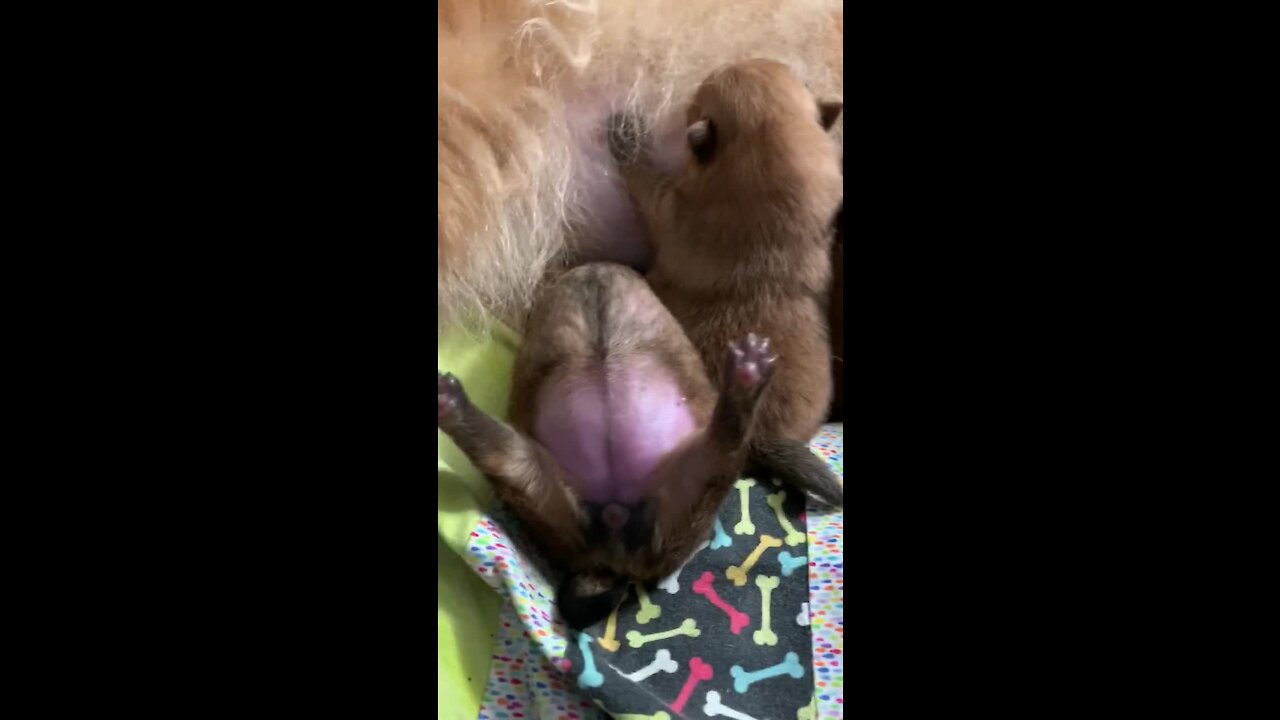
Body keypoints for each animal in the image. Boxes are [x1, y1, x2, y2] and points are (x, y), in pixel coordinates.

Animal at [435, 260, 773, 625]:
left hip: (540, 478)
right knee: (726, 440)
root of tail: (612, 556)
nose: (597, 269)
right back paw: (746, 377)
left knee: (497, 453)